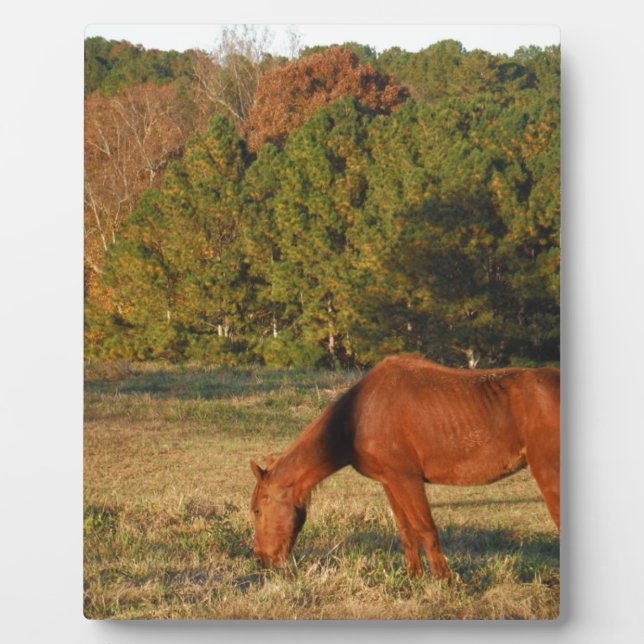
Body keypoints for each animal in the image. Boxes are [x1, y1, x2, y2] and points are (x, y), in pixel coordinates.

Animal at [250, 354, 560, 578]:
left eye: (257, 510)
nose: (261, 559)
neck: (360, 415)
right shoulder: (391, 482)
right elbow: (406, 531)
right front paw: (414, 578)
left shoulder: (407, 479)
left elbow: (425, 529)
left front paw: (444, 581)